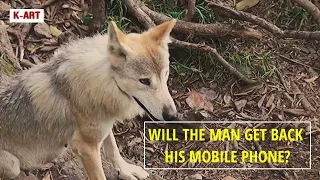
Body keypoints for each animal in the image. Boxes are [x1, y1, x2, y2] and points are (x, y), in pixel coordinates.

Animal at [0, 19, 178, 179]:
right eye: (144, 81)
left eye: (165, 74)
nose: (172, 115)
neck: (103, 82)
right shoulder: (86, 148)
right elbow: (100, 174)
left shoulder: (105, 126)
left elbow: (114, 150)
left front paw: (126, 171)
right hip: (12, 164)